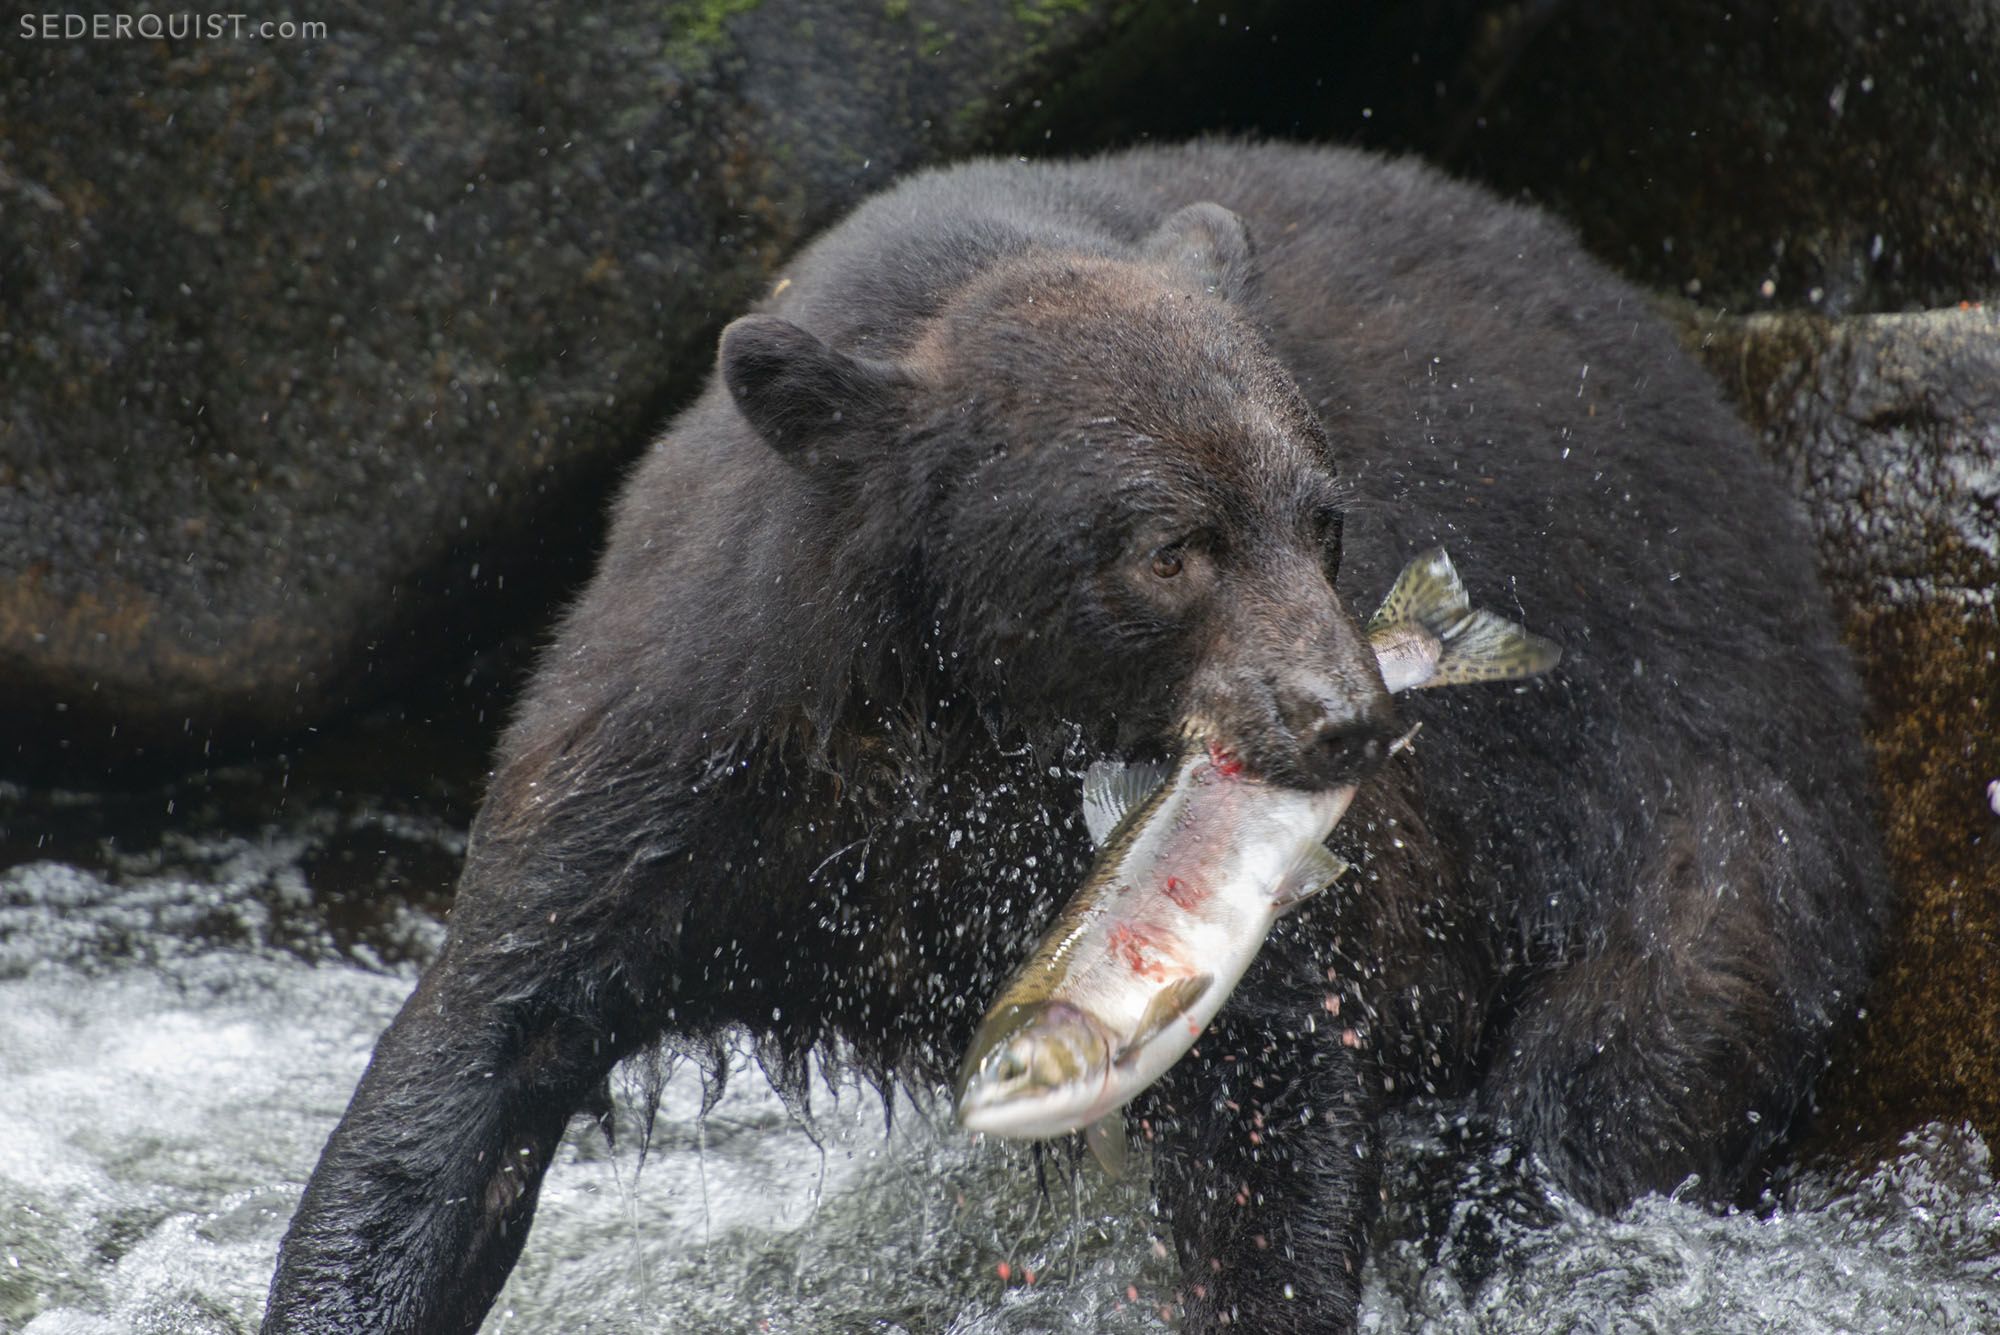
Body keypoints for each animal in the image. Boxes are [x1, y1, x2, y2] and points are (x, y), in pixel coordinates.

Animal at [258, 140, 1880, 1327]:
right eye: (1170, 547)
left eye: (1324, 517)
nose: (1345, 722)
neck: (961, 718)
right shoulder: (703, 746)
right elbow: (481, 1052)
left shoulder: (1230, 887)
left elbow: (1270, 1103)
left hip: (1694, 807)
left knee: (1609, 1080)